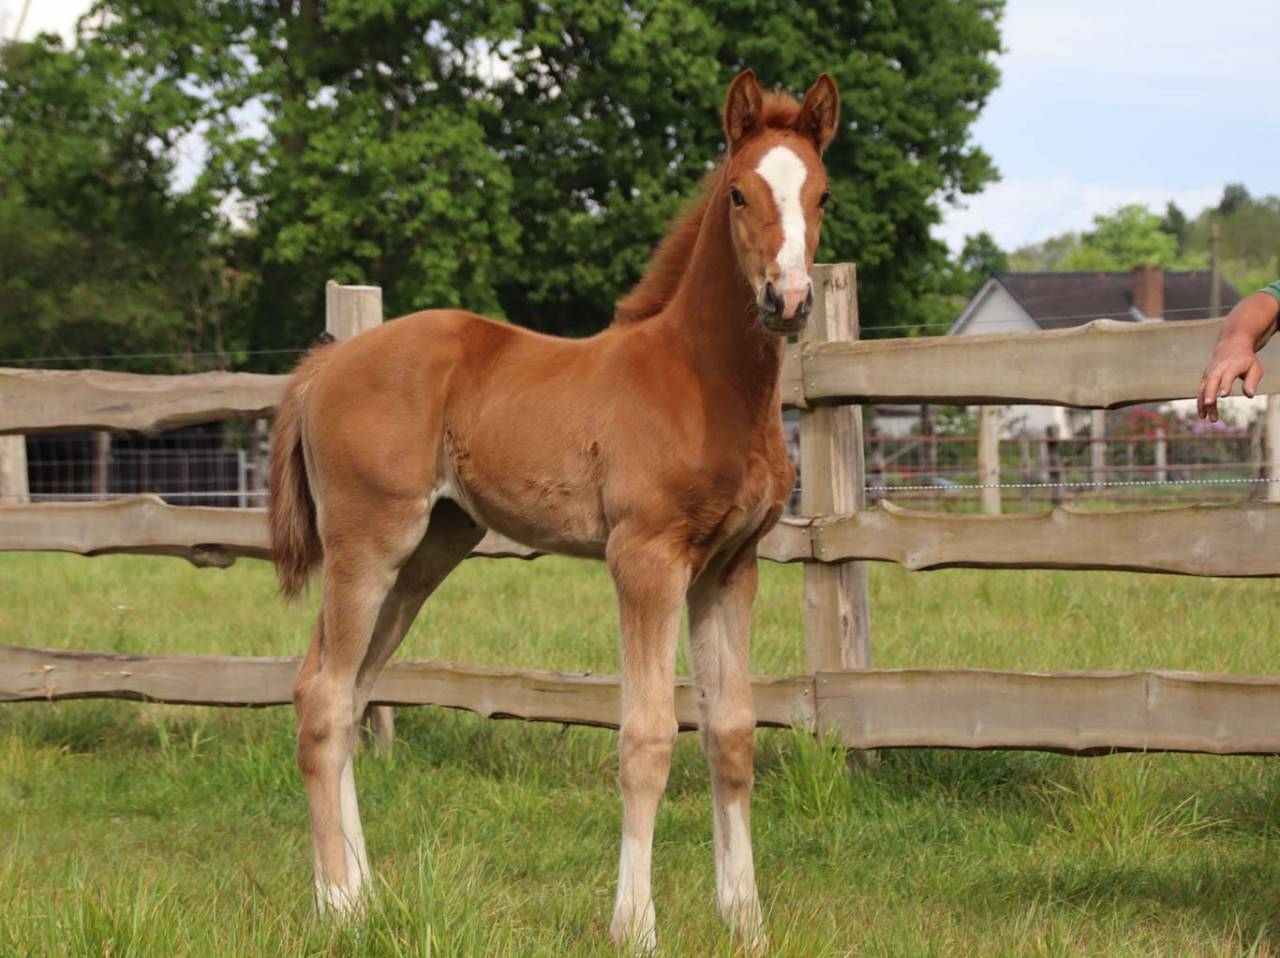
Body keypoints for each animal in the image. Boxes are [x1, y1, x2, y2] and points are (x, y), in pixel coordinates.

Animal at [268, 68, 839, 950]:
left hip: (430, 550)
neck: (701, 380)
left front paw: (747, 924)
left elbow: (732, 735)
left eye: (822, 193)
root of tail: (326, 365)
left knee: (350, 691)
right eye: (740, 193)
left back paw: (367, 894)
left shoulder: (729, 568)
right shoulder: (645, 560)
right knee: (324, 698)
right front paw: (635, 927)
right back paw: (337, 906)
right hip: (367, 543)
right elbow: (647, 738)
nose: (790, 300)